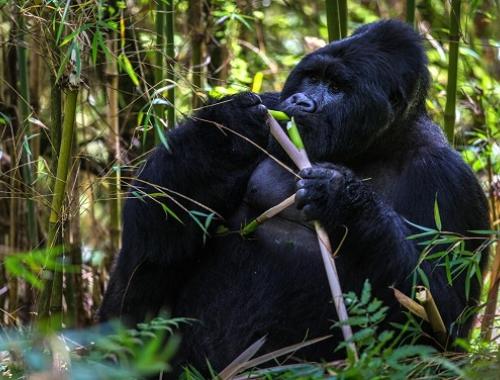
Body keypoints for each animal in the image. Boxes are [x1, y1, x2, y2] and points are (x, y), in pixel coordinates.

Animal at [100, 19, 488, 372]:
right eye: (311, 78)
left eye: (336, 87)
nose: (301, 101)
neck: (376, 145)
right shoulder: (273, 103)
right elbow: (161, 221)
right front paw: (227, 125)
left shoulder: (450, 181)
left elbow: (437, 317)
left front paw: (342, 199)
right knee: (140, 270)